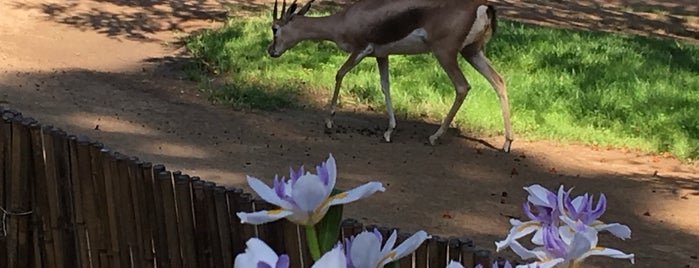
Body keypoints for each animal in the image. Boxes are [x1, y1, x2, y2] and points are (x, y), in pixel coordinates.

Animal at [268, 0, 516, 152]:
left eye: (274, 28)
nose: (271, 51)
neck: (345, 19)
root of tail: (483, 6)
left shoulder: (360, 50)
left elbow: (339, 74)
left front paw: (329, 122)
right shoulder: (381, 55)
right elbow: (385, 86)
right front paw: (389, 130)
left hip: (445, 53)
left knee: (463, 87)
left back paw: (435, 137)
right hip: (472, 52)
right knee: (499, 81)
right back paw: (507, 142)